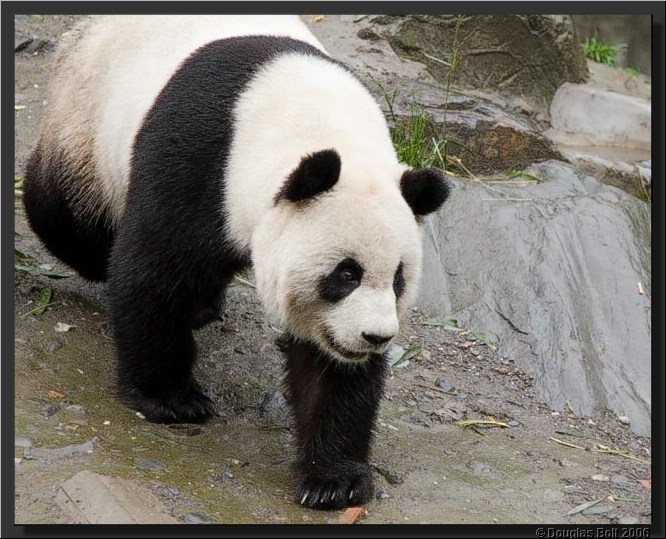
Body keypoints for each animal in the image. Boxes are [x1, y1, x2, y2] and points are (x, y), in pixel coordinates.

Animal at [23, 15, 450, 510]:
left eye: (398, 279)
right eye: (346, 274)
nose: (376, 337)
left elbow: (331, 368)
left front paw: (333, 480)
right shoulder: (198, 158)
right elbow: (154, 272)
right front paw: (170, 398)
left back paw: (204, 305)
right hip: (86, 119)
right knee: (66, 210)